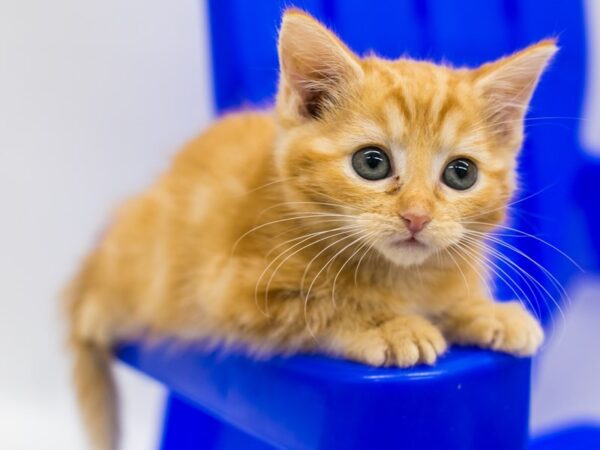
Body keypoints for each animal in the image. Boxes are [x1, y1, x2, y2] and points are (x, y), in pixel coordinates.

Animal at [64, 7, 552, 450]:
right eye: (372, 163)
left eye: (461, 173)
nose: (416, 216)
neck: (402, 276)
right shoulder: (232, 291)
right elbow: (325, 303)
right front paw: (389, 325)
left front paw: (485, 311)